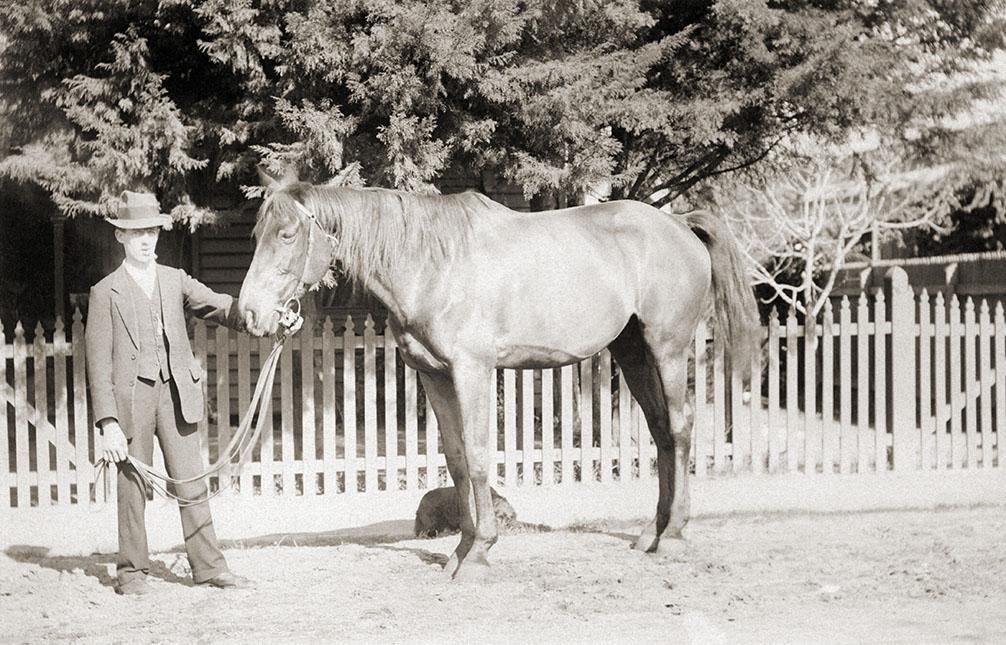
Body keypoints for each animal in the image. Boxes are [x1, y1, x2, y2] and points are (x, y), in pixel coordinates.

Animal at [237, 169, 756, 579]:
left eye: (287, 235)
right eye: (255, 234)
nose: (251, 313)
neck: (432, 263)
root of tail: (679, 224)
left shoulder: (472, 371)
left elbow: (480, 455)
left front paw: (480, 553)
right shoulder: (434, 375)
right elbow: (457, 460)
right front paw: (463, 549)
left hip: (668, 349)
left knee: (681, 429)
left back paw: (674, 536)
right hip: (633, 353)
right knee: (661, 431)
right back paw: (653, 532)